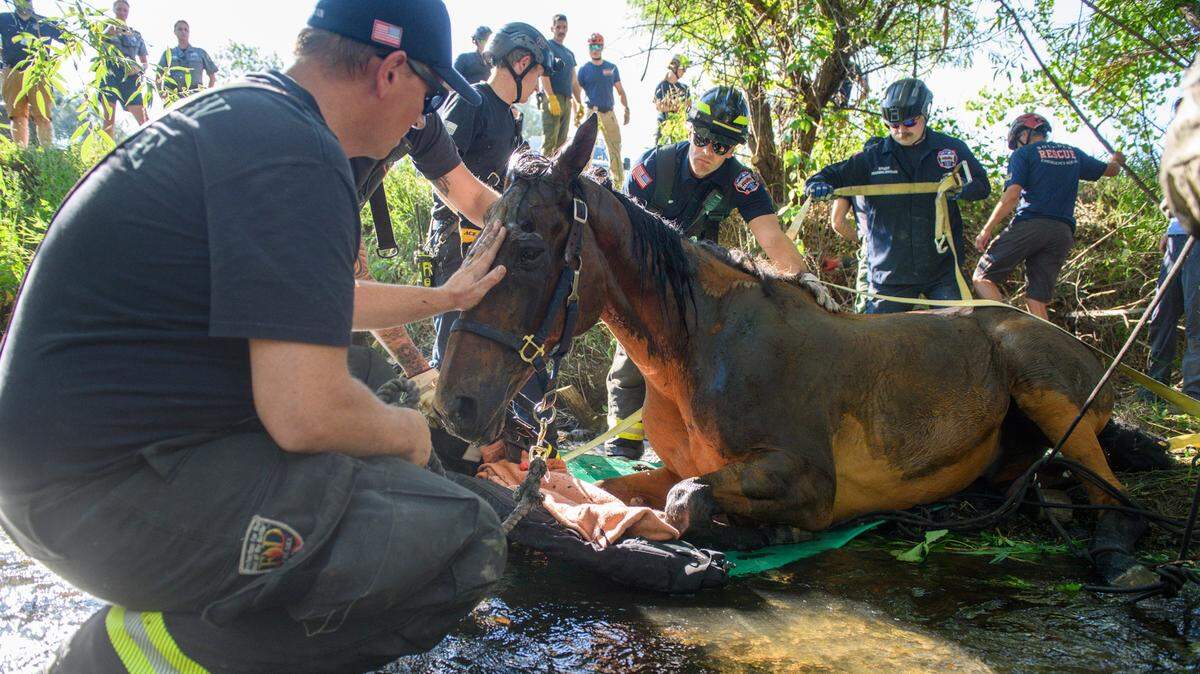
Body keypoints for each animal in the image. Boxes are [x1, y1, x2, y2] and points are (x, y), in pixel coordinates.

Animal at [434, 116, 1161, 588]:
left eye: (531, 250)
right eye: (475, 239)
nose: (454, 406)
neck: (700, 350)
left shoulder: (808, 478)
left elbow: (686, 504)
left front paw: (764, 533)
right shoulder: (675, 467)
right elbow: (618, 494)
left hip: (1048, 392)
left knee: (1119, 501)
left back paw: (1121, 560)